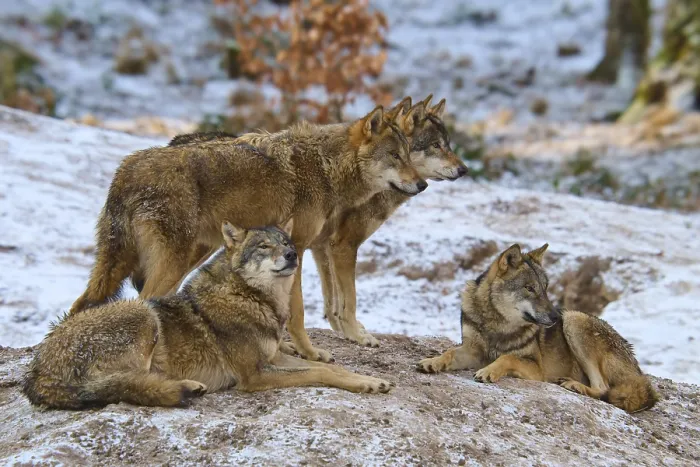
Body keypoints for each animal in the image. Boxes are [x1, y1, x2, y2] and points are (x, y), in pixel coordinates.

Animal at [23, 221, 393, 410]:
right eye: (264, 247)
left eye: (286, 242)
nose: (292, 255)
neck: (251, 297)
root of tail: (37, 371)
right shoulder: (254, 375)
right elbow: (319, 373)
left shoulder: (272, 357)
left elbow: (332, 368)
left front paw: (368, 380)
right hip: (142, 315)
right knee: (127, 386)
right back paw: (185, 388)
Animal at [69, 105, 426, 362]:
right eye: (395, 156)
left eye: (409, 155)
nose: (422, 184)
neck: (326, 167)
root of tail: (124, 172)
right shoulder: (296, 248)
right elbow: (297, 313)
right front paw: (310, 353)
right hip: (172, 262)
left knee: (83, 305)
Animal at [314, 95, 468, 347]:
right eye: (435, 145)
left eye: (448, 145)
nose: (464, 170)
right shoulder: (343, 246)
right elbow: (349, 299)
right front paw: (357, 335)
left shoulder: (323, 246)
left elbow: (332, 300)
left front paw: (345, 330)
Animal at [417, 243, 658, 413]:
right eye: (529, 288)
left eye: (545, 288)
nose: (555, 317)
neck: (497, 324)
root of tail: (637, 368)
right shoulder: (472, 351)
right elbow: (449, 352)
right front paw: (432, 361)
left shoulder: (536, 368)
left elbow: (507, 357)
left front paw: (488, 371)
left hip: (574, 319)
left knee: (603, 388)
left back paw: (574, 385)